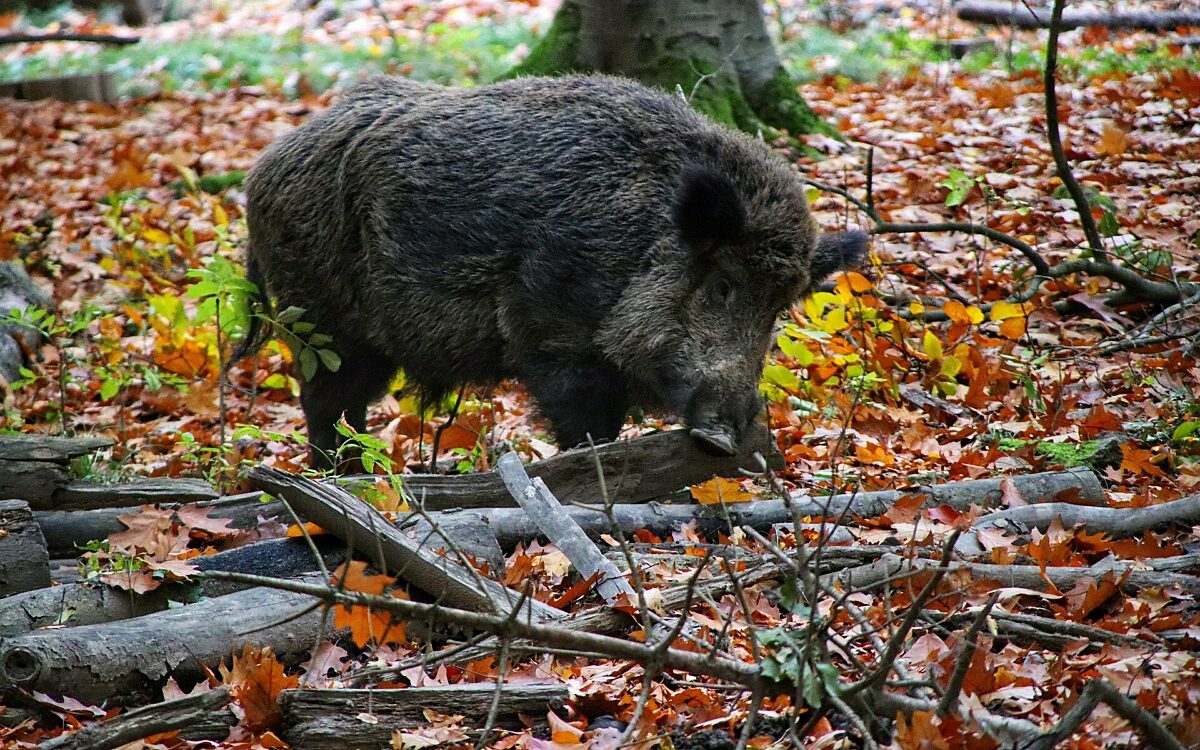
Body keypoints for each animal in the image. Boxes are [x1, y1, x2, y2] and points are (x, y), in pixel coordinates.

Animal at [235, 74, 866, 468]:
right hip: (320, 323)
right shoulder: (551, 333)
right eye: (722, 285)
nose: (722, 436)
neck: (638, 243)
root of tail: (261, 169)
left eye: (778, 309)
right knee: (326, 403)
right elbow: (587, 427)